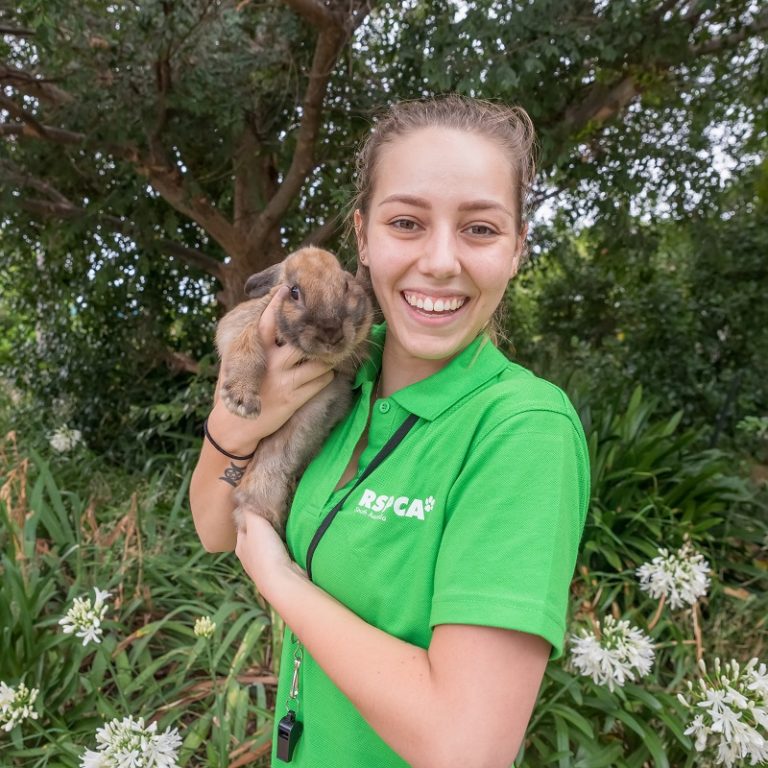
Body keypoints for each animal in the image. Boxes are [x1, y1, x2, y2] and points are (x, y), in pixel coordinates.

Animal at [215, 246, 374, 536]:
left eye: (345, 285)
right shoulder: (241, 326)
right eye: (294, 292)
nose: (331, 332)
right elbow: (246, 343)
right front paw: (241, 401)